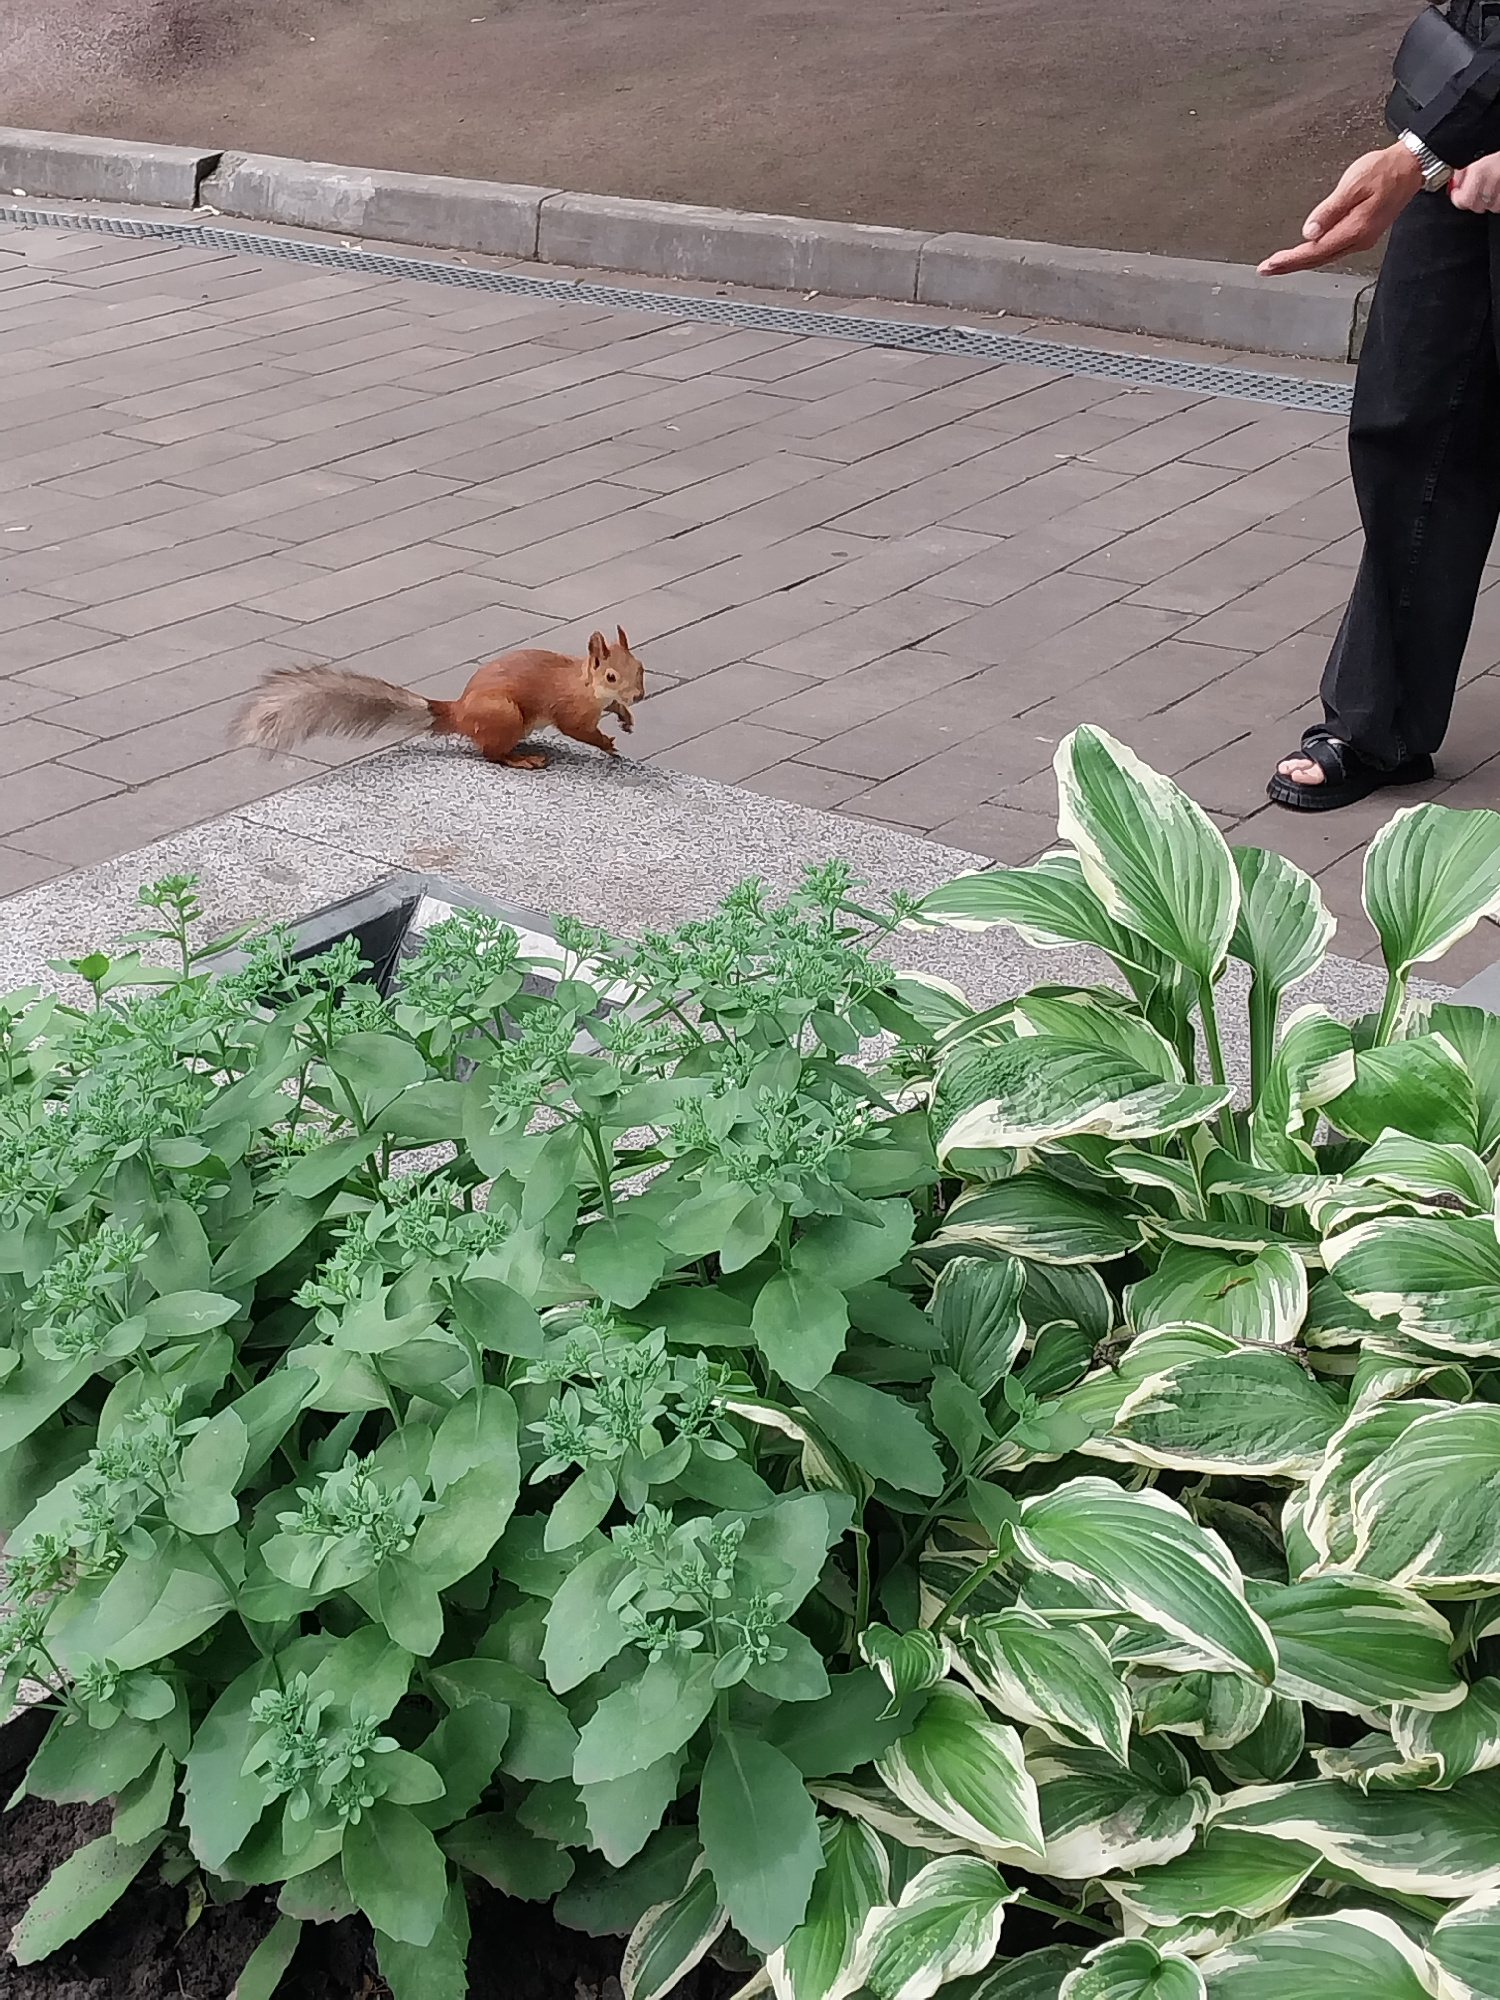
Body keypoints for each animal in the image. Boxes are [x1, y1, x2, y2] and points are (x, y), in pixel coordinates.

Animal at [230, 628, 645, 769]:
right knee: (490, 753)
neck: (586, 684)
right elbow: (578, 730)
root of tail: (458, 712)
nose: (640, 696)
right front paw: (606, 742)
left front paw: (625, 718)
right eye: (611, 675)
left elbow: (612, 708)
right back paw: (521, 758)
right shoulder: (570, 709)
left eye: (641, 666)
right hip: (504, 715)